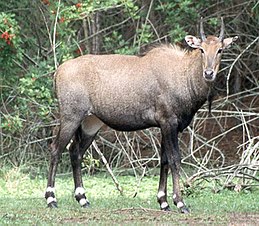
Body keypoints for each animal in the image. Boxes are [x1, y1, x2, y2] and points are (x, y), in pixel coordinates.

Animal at [45, 18, 239, 214]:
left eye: (220, 50)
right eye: (201, 49)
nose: (209, 73)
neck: (183, 75)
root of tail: (58, 71)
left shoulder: (166, 126)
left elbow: (164, 160)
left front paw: (163, 202)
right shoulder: (168, 122)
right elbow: (175, 159)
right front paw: (180, 203)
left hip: (90, 123)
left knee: (75, 152)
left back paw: (83, 199)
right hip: (71, 117)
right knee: (55, 149)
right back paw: (51, 199)